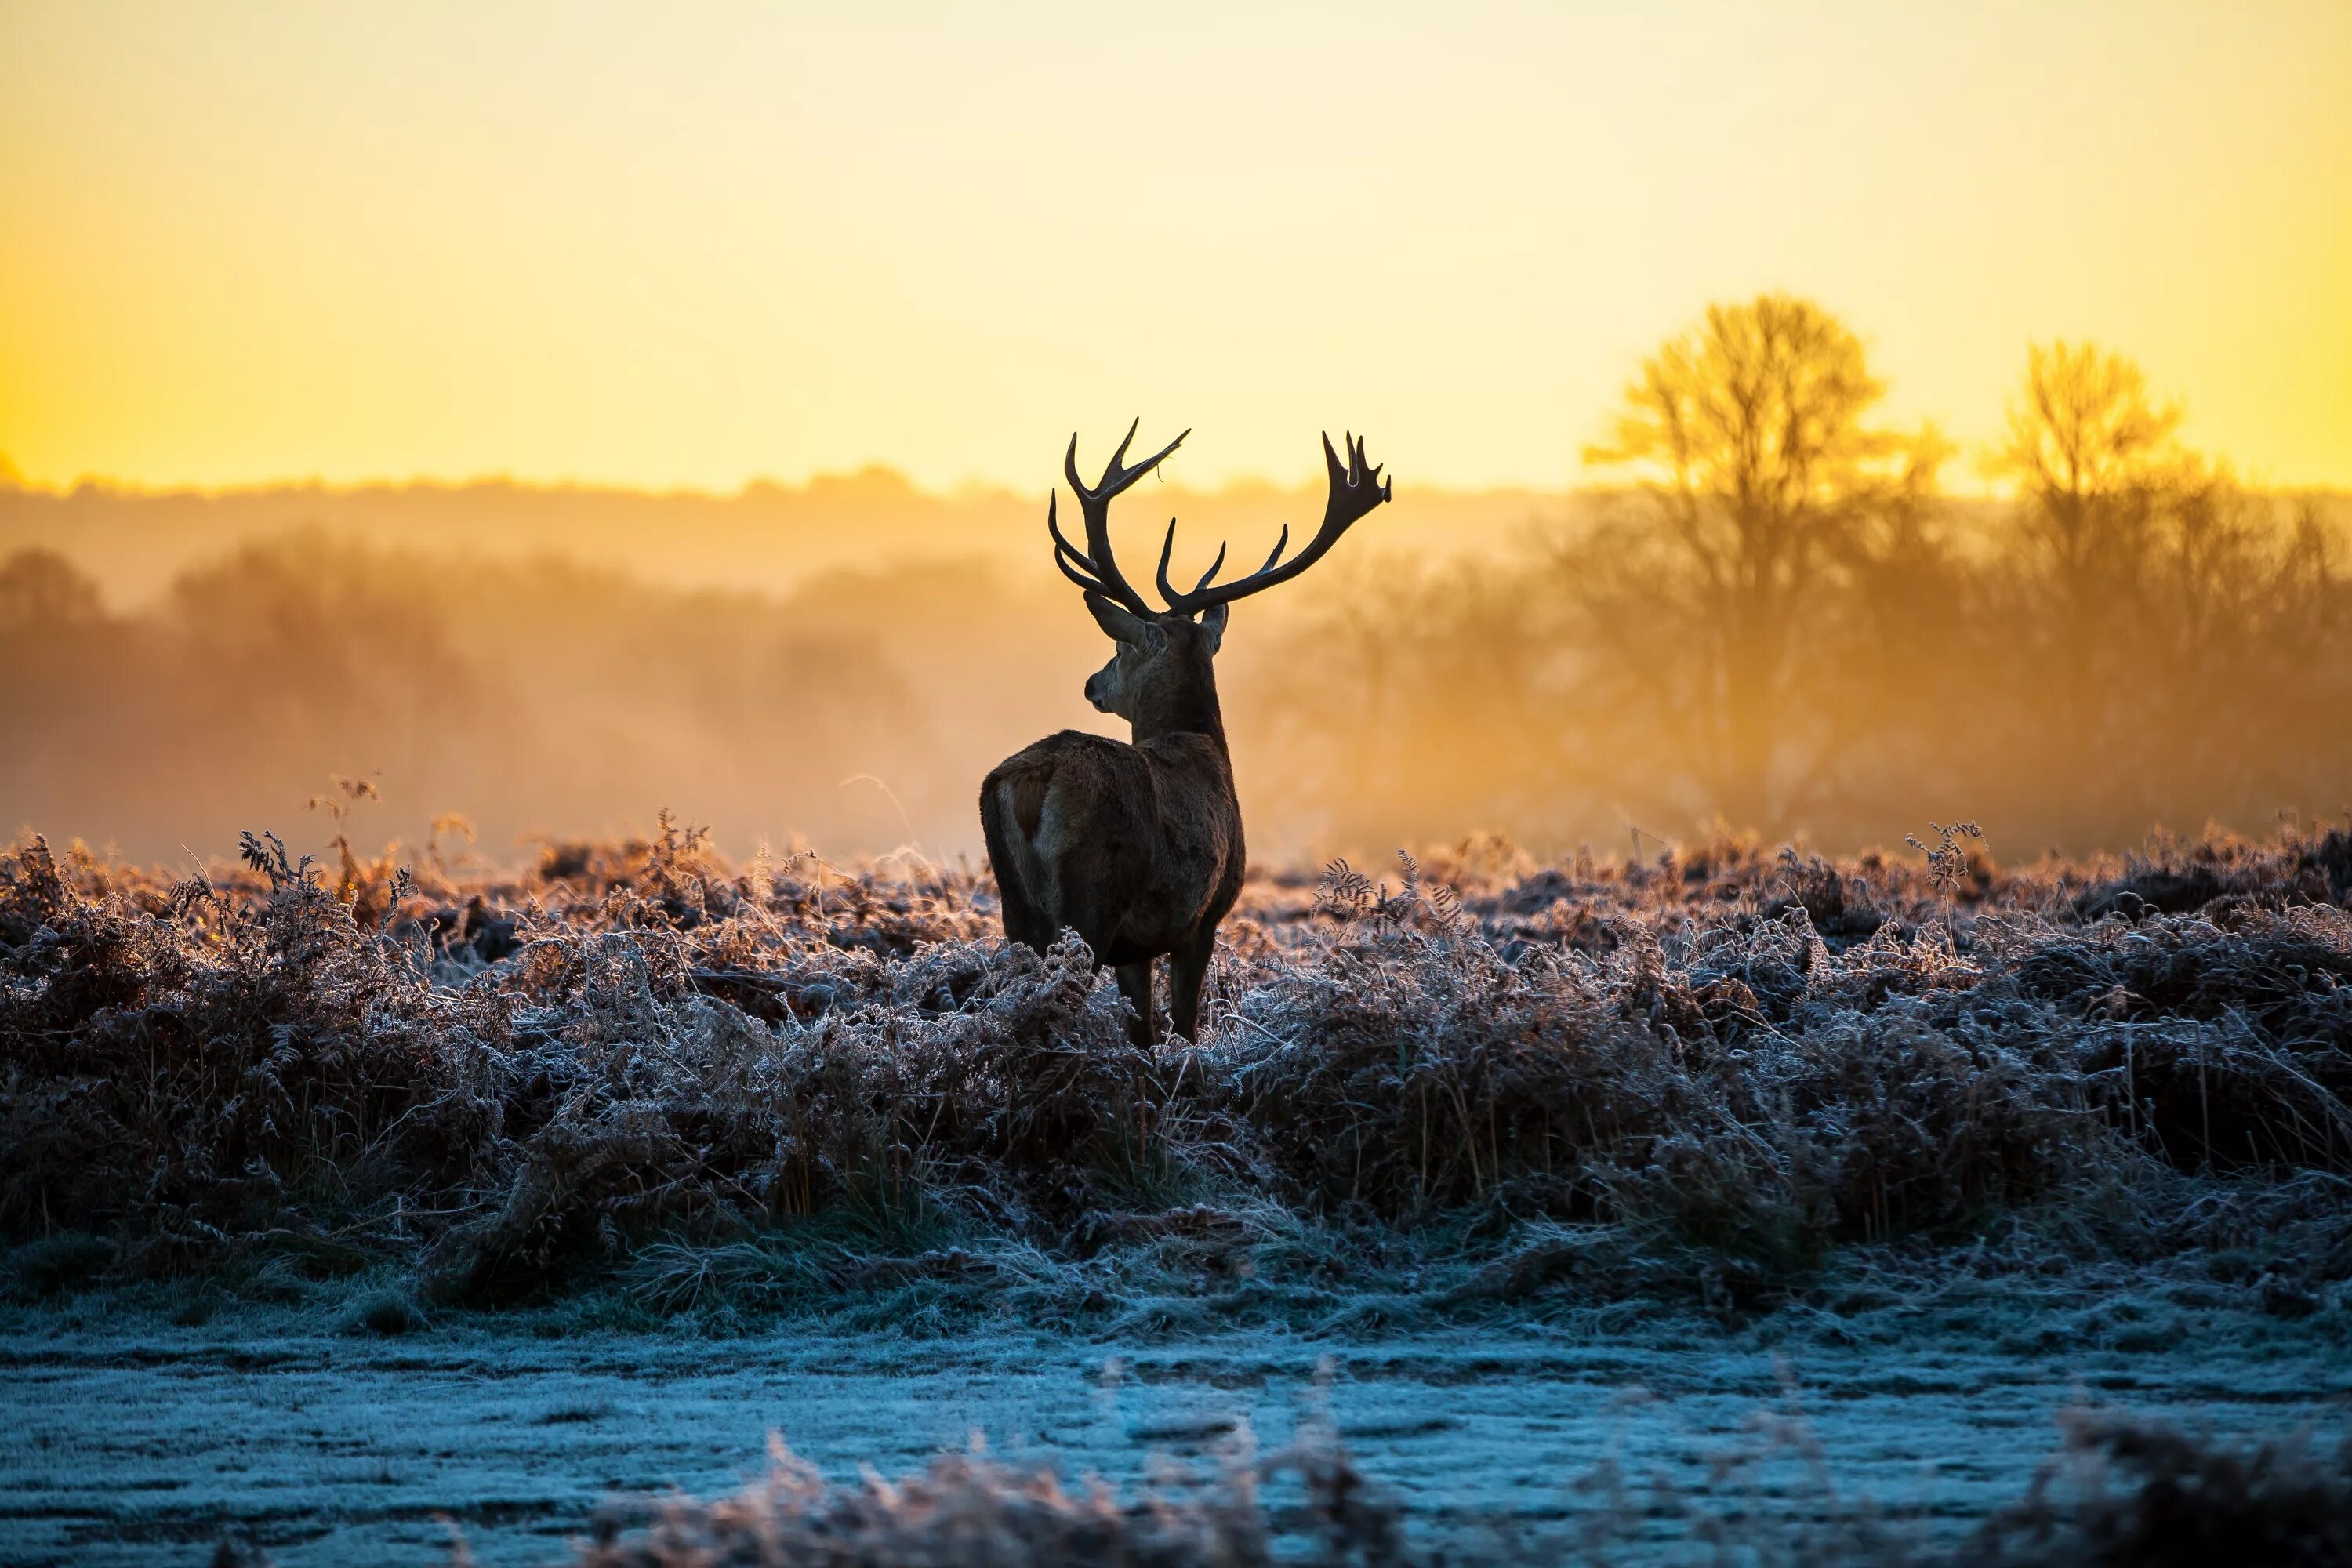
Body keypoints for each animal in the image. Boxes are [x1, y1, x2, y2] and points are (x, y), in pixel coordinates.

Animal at [978, 423, 1383, 1048]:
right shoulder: (1203, 916)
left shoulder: (1138, 946)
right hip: (1092, 898)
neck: (1201, 743)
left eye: (1119, 648)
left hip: (1016, 907)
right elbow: (1185, 1027)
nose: (1092, 683)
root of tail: (1031, 781)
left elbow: (1143, 1029)